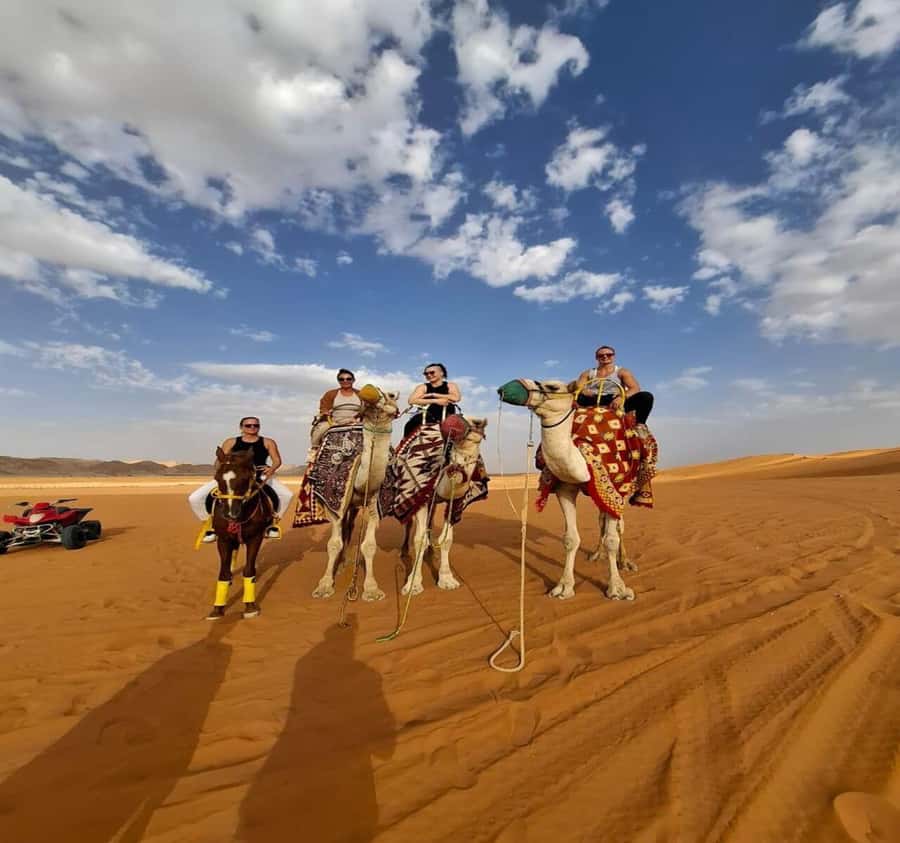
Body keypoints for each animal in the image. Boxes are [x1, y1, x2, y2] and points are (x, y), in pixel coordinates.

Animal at [312, 385, 400, 602]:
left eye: (391, 395)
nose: (370, 392)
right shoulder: (334, 502)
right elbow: (333, 543)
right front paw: (324, 585)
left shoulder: (376, 502)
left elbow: (369, 545)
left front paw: (371, 589)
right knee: (343, 530)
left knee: (349, 527)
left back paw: (345, 563)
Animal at [399, 417, 488, 595]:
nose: (477, 423)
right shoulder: (421, 495)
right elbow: (419, 539)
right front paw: (413, 584)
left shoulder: (456, 501)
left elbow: (447, 539)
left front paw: (447, 579)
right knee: (409, 523)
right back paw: (404, 550)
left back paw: (431, 552)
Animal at [497, 379, 637, 601]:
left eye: (553, 387)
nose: (504, 388)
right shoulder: (565, 489)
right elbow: (571, 539)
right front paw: (563, 587)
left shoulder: (615, 489)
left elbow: (612, 539)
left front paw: (617, 589)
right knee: (601, 520)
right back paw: (597, 554)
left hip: (624, 489)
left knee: (619, 526)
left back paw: (625, 562)